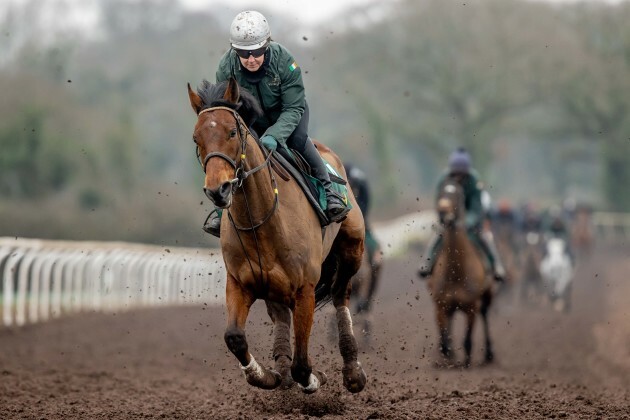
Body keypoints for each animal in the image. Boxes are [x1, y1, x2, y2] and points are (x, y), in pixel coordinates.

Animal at [186, 78, 370, 394]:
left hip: (351, 249)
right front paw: (266, 376)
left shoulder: (305, 289)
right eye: (197, 138)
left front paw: (315, 378)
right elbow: (234, 337)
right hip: (273, 286)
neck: (261, 220)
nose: (217, 190)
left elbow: (302, 365)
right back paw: (281, 368)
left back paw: (352, 371)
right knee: (282, 316)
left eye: (232, 131)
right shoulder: (240, 283)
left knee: (340, 295)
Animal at [428, 177, 496, 368]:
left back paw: (489, 354)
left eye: (457, 195)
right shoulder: (440, 305)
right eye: (441, 192)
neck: (456, 272)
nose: (443, 211)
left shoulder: (471, 306)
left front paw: (465, 363)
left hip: (488, 294)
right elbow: (444, 339)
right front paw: (447, 356)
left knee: (485, 314)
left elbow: (467, 340)